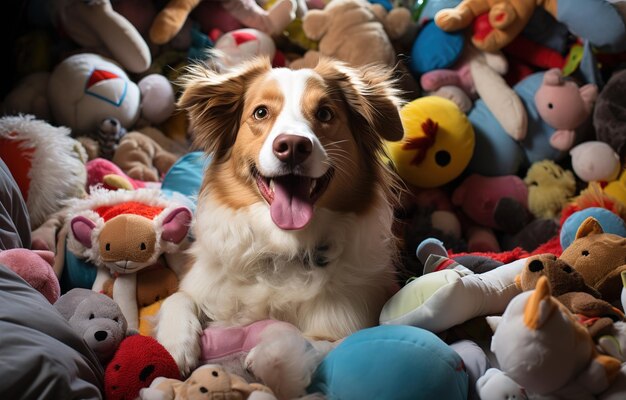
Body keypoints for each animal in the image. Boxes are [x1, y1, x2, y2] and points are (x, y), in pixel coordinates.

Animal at [156, 56, 404, 384]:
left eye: (325, 113)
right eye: (261, 112)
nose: (293, 147)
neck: (284, 247)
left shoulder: (350, 321)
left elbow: (313, 343)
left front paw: (267, 353)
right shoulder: (204, 281)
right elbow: (177, 298)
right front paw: (174, 345)